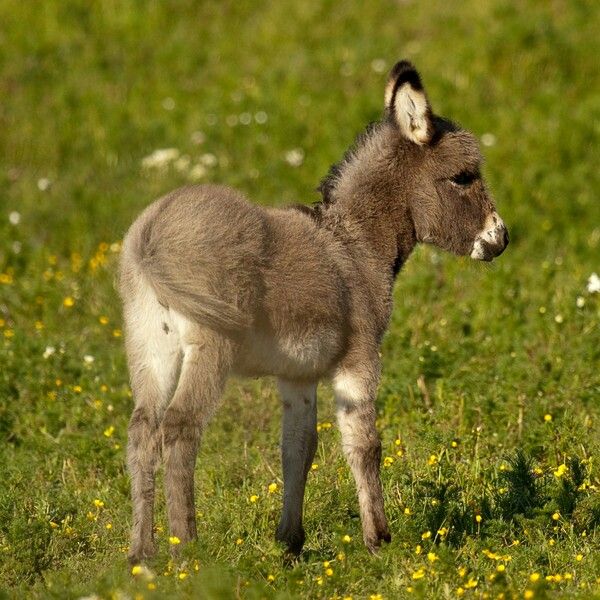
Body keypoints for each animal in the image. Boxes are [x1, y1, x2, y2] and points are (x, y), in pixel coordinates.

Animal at [120, 59, 506, 564]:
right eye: (463, 177)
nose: (501, 239)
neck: (356, 243)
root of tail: (151, 233)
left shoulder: (298, 375)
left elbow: (299, 448)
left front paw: (291, 542)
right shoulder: (360, 358)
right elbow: (363, 443)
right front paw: (378, 539)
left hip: (151, 345)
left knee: (142, 431)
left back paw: (141, 555)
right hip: (210, 345)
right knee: (181, 428)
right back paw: (187, 553)